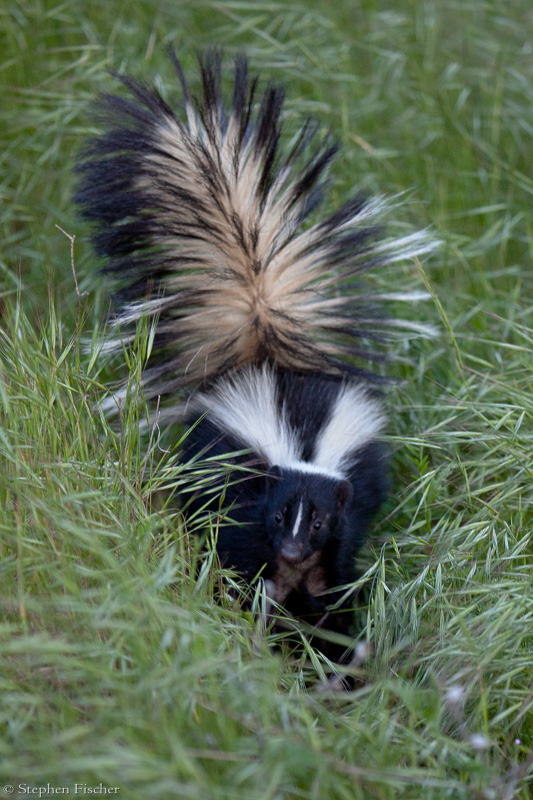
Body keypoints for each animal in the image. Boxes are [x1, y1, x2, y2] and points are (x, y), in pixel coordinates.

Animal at [74, 48, 432, 636]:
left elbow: (334, 574)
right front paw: (253, 612)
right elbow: (237, 556)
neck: (302, 449)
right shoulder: (242, 498)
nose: (291, 552)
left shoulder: (348, 513)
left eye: (318, 523)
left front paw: (324, 627)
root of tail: (264, 354)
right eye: (282, 513)